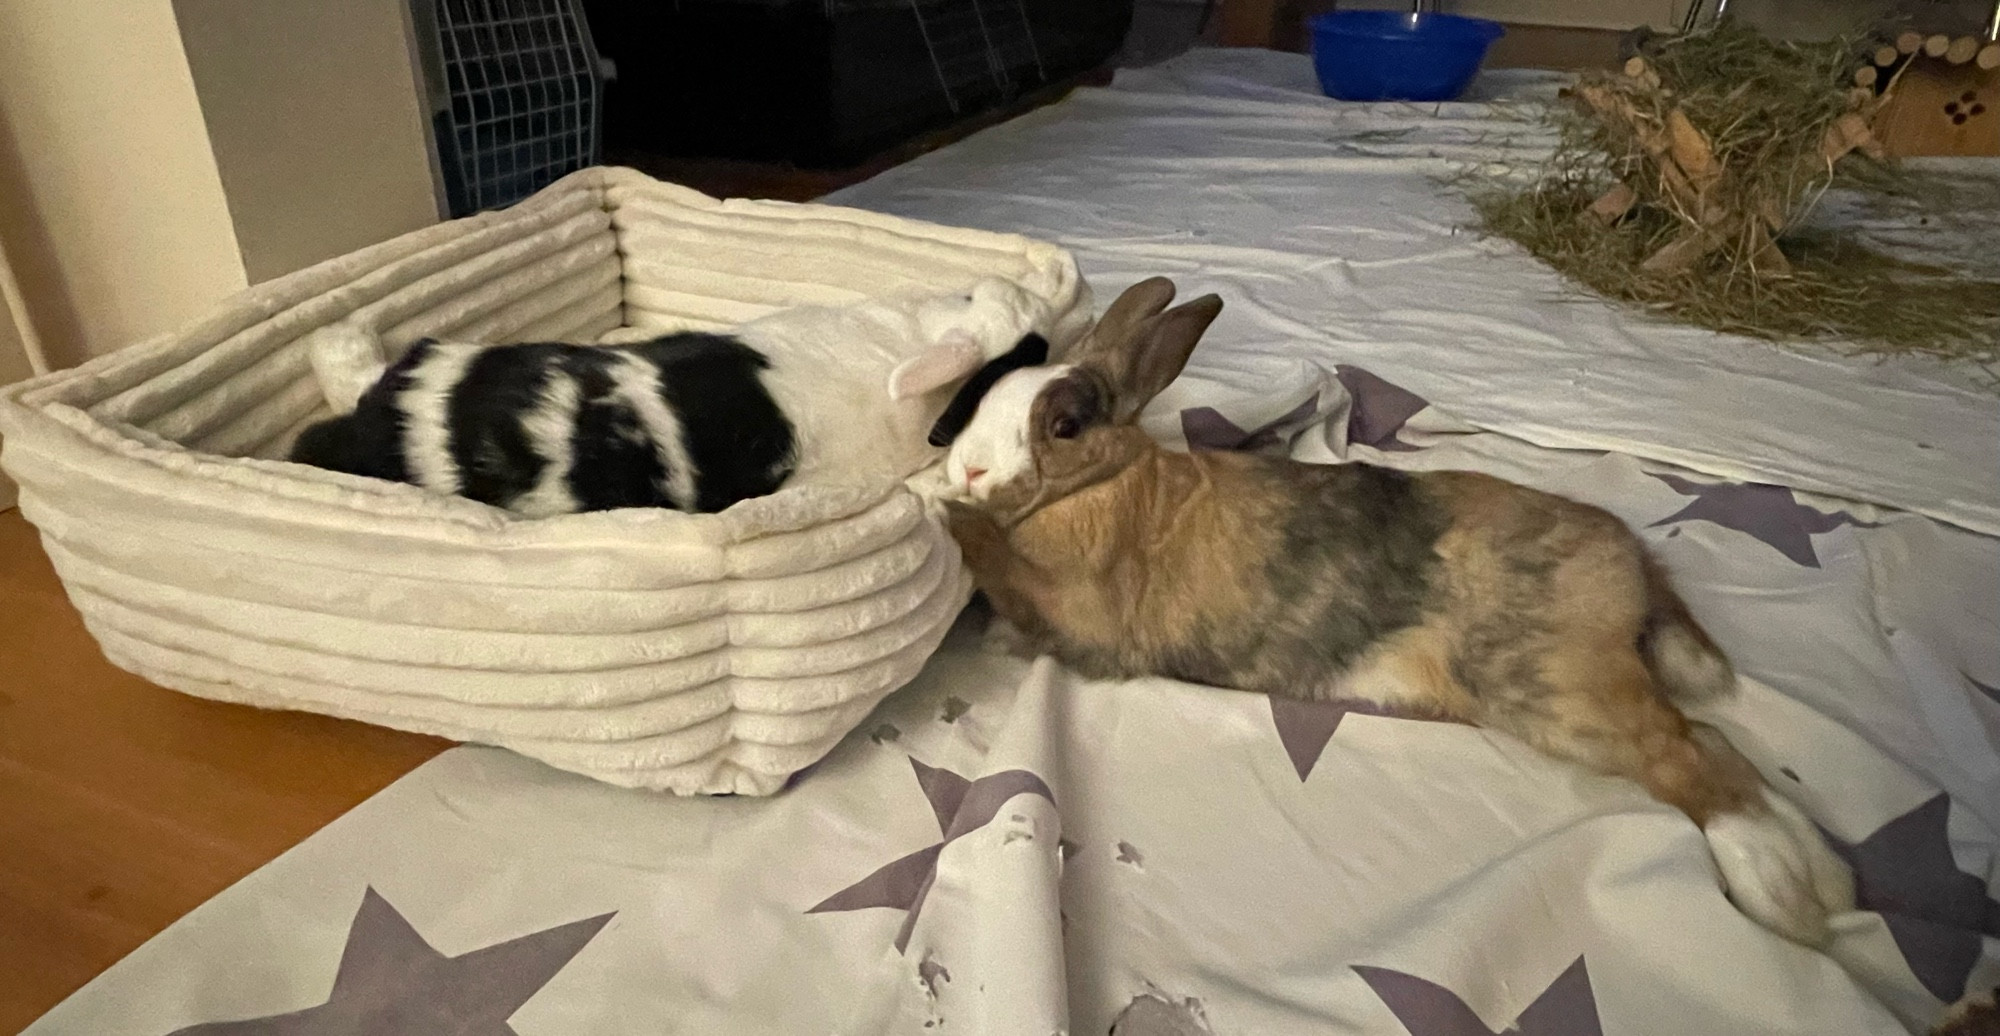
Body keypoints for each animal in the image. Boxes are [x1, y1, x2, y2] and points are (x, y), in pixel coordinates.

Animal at [936, 278, 1856, 952]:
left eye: (1062, 424)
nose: (966, 468)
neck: (1111, 481)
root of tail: (1632, 561)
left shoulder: (1073, 608)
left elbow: (995, 562)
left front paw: (945, 512)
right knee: (1715, 741)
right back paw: (1830, 879)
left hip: (1554, 689)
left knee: (1683, 757)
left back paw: (1780, 896)